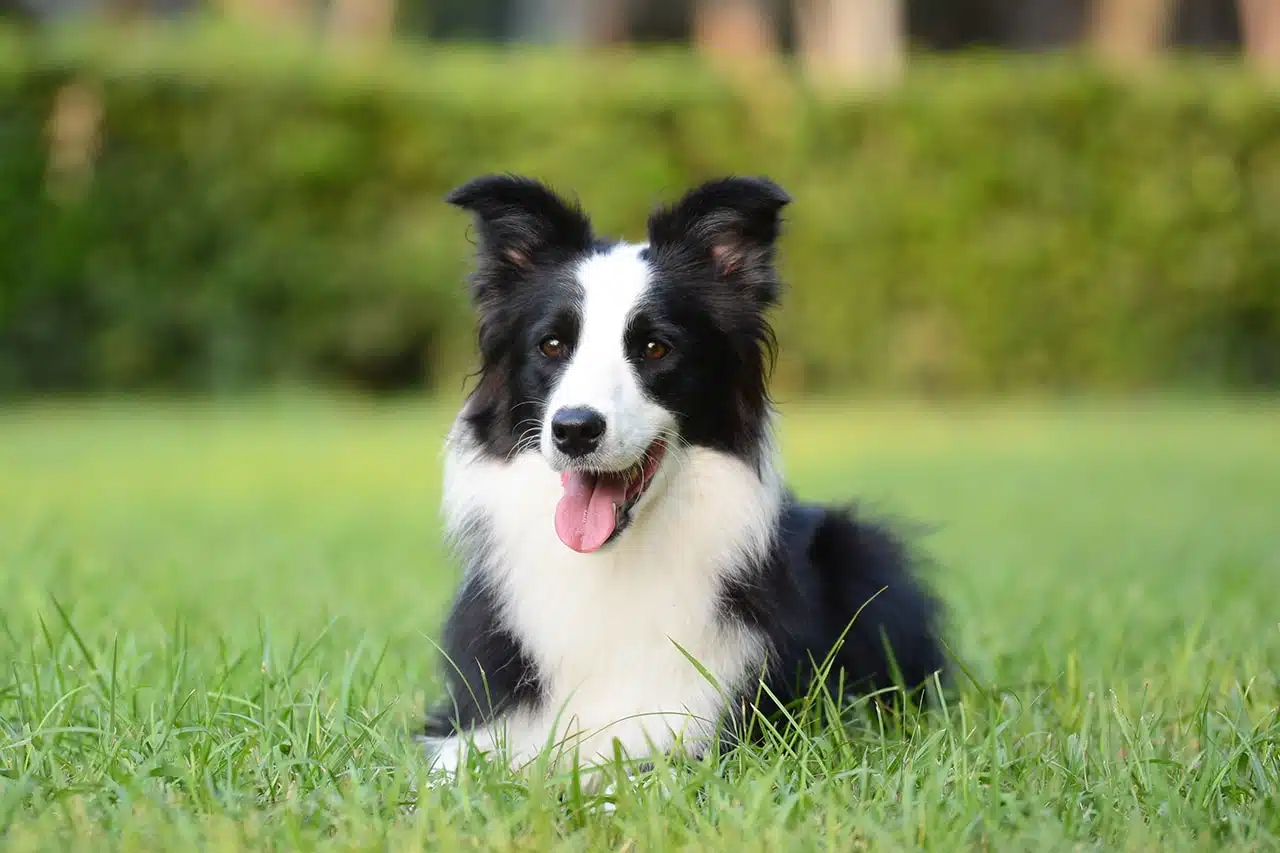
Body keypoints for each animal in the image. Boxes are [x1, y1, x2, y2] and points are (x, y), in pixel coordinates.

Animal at [424, 171, 947, 778]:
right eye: (552, 345)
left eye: (655, 348)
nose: (574, 429)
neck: (613, 566)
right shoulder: (476, 725)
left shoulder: (716, 730)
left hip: (861, 546)